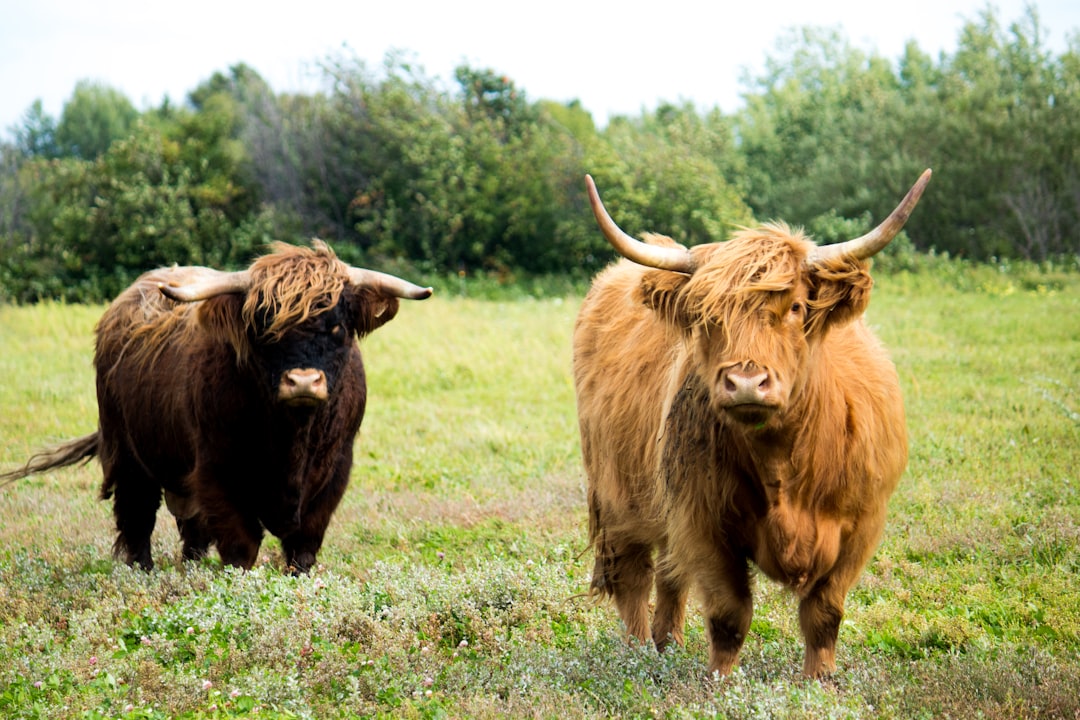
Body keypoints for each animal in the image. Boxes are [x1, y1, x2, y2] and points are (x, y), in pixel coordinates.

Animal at [1, 241, 429, 574]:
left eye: (338, 327)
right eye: (264, 328)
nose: (304, 381)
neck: (291, 438)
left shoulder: (334, 471)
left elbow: (303, 547)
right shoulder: (217, 471)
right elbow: (241, 546)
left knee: (189, 529)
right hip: (126, 451)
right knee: (137, 515)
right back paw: (142, 571)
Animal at [574, 169, 928, 677]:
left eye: (796, 307)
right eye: (707, 316)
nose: (745, 382)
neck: (785, 461)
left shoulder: (863, 523)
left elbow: (825, 611)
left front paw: (820, 680)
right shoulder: (702, 520)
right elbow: (729, 613)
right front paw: (721, 681)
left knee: (669, 575)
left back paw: (667, 645)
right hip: (616, 495)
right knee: (634, 576)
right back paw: (639, 653)